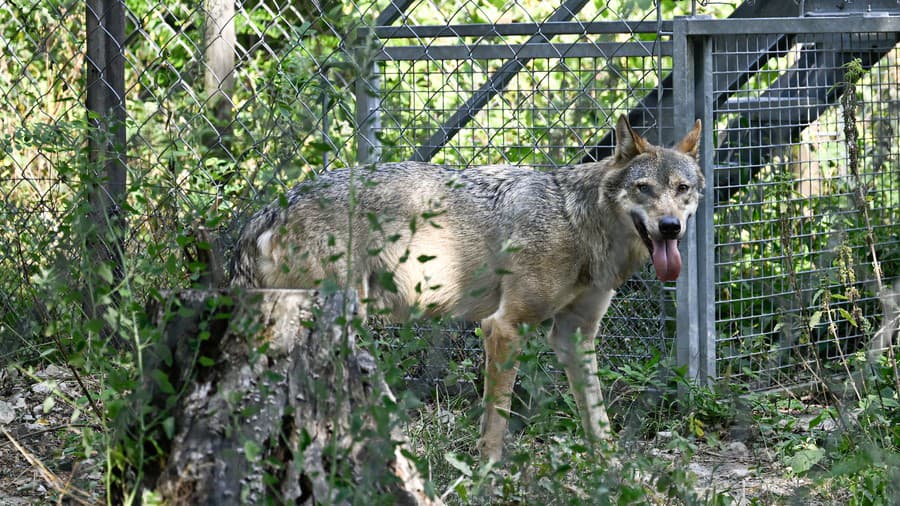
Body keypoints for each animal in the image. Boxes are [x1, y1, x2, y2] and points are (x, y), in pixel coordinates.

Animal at [230, 114, 704, 462]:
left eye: (682, 189)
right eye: (643, 188)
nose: (670, 227)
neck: (576, 222)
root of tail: (272, 208)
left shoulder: (574, 335)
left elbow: (596, 416)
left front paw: (611, 470)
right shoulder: (504, 327)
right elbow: (497, 417)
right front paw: (487, 473)